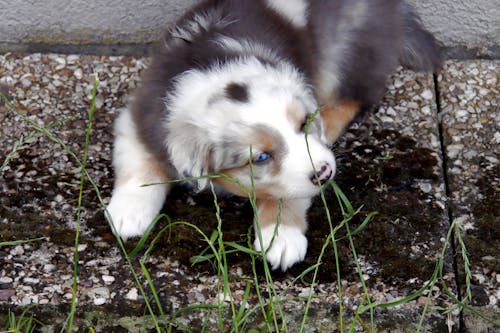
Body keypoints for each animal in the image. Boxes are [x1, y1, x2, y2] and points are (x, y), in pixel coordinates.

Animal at [105, 0, 438, 270]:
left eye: (304, 124)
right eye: (262, 156)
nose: (325, 172)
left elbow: (286, 193)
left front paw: (281, 238)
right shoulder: (141, 116)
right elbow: (141, 164)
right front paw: (129, 213)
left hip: (347, 49)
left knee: (355, 96)